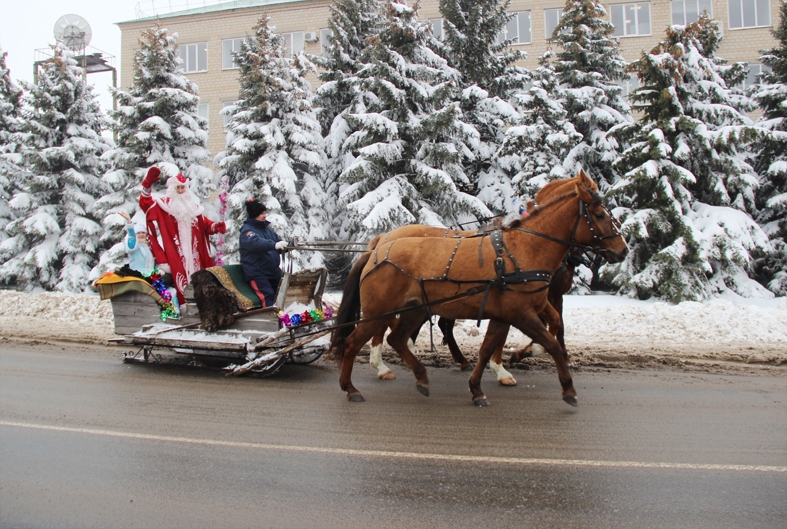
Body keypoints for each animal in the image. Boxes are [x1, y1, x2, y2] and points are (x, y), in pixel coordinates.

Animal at [329, 170, 628, 406]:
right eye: (599, 215)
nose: (623, 250)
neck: (525, 249)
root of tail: (378, 247)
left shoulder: (515, 311)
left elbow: (494, 346)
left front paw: (481, 385)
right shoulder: (522, 313)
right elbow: (552, 342)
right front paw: (565, 386)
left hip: (416, 309)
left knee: (397, 338)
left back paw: (419, 375)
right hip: (378, 310)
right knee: (356, 341)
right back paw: (353, 386)